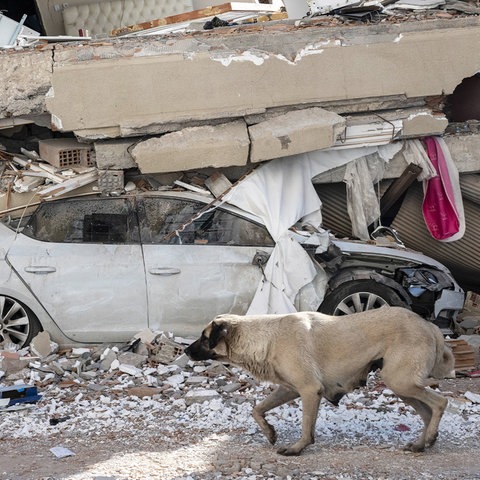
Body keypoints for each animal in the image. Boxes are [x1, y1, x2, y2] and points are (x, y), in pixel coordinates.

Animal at [186, 306, 456, 456]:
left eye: (204, 337)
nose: (186, 351)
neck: (266, 338)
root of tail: (430, 326)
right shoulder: (288, 389)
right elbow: (257, 409)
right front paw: (270, 432)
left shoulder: (308, 390)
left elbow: (307, 427)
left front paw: (297, 449)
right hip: (402, 385)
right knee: (427, 412)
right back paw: (422, 443)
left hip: (400, 381)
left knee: (440, 403)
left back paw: (428, 438)